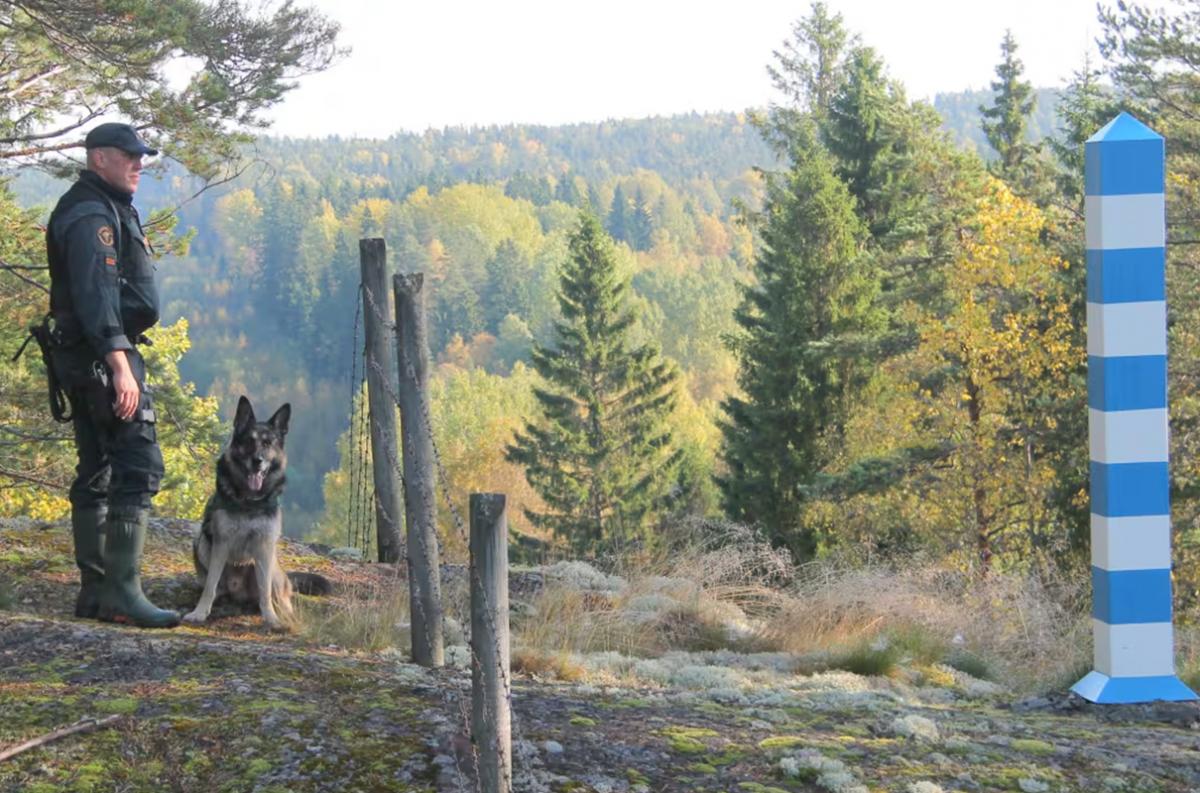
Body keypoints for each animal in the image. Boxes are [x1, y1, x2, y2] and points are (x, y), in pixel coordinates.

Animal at [184, 395, 321, 628]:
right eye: (249, 441)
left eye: (267, 443)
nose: (258, 461)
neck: (249, 500)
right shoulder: (221, 543)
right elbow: (210, 586)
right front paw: (200, 612)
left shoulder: (264, 545)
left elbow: (265, 592)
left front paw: (271, 619)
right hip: (199, 538)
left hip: (273, 566)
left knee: (281, 596)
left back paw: (286, 615)